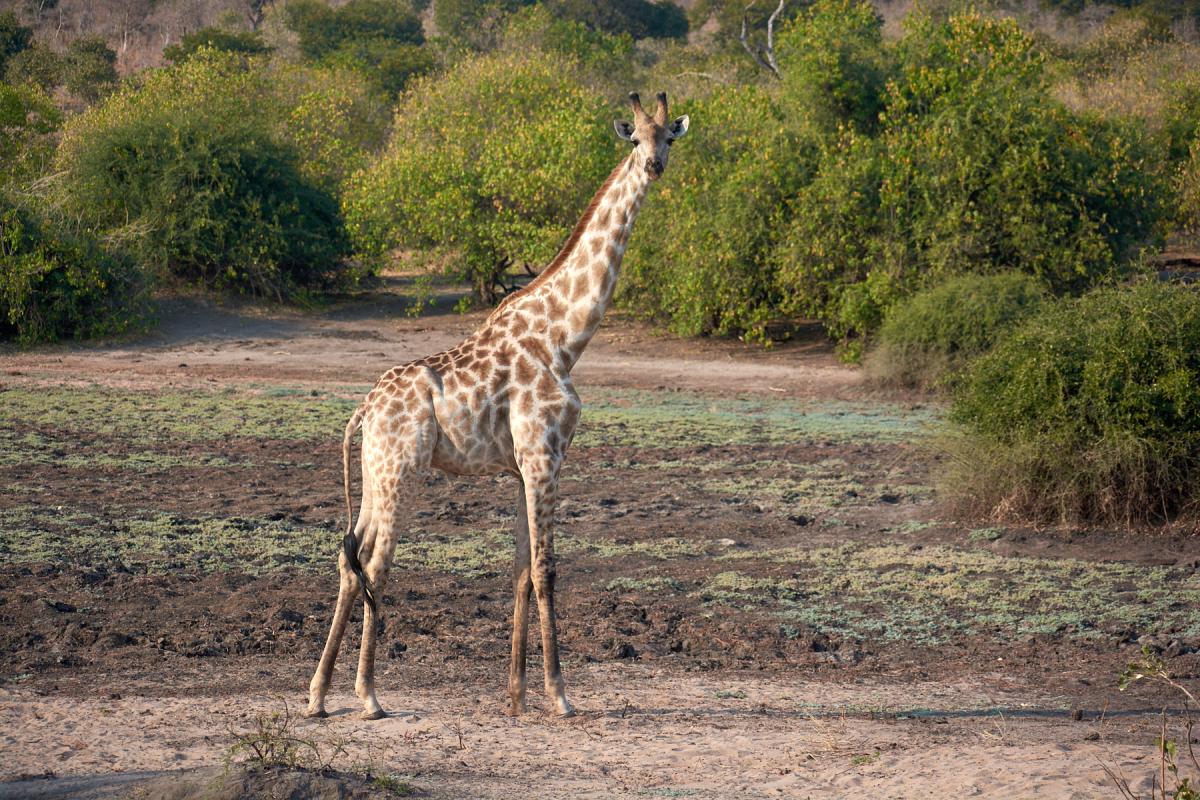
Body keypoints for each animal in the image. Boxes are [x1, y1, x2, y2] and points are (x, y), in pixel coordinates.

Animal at [306, 91, 690, 720]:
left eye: (669, 138)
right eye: (634, 138)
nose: (654, 165)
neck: (566, 336)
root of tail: (362, 409)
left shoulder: (522, 467)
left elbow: (518, 571)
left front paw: (515, 694)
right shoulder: (543, 458)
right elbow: (546, 570)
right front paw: (559, 695)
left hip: (372, 472)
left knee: (349, 557)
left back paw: (317, 695)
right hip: (402, 472)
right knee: (378, 563)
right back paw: (368, 695)